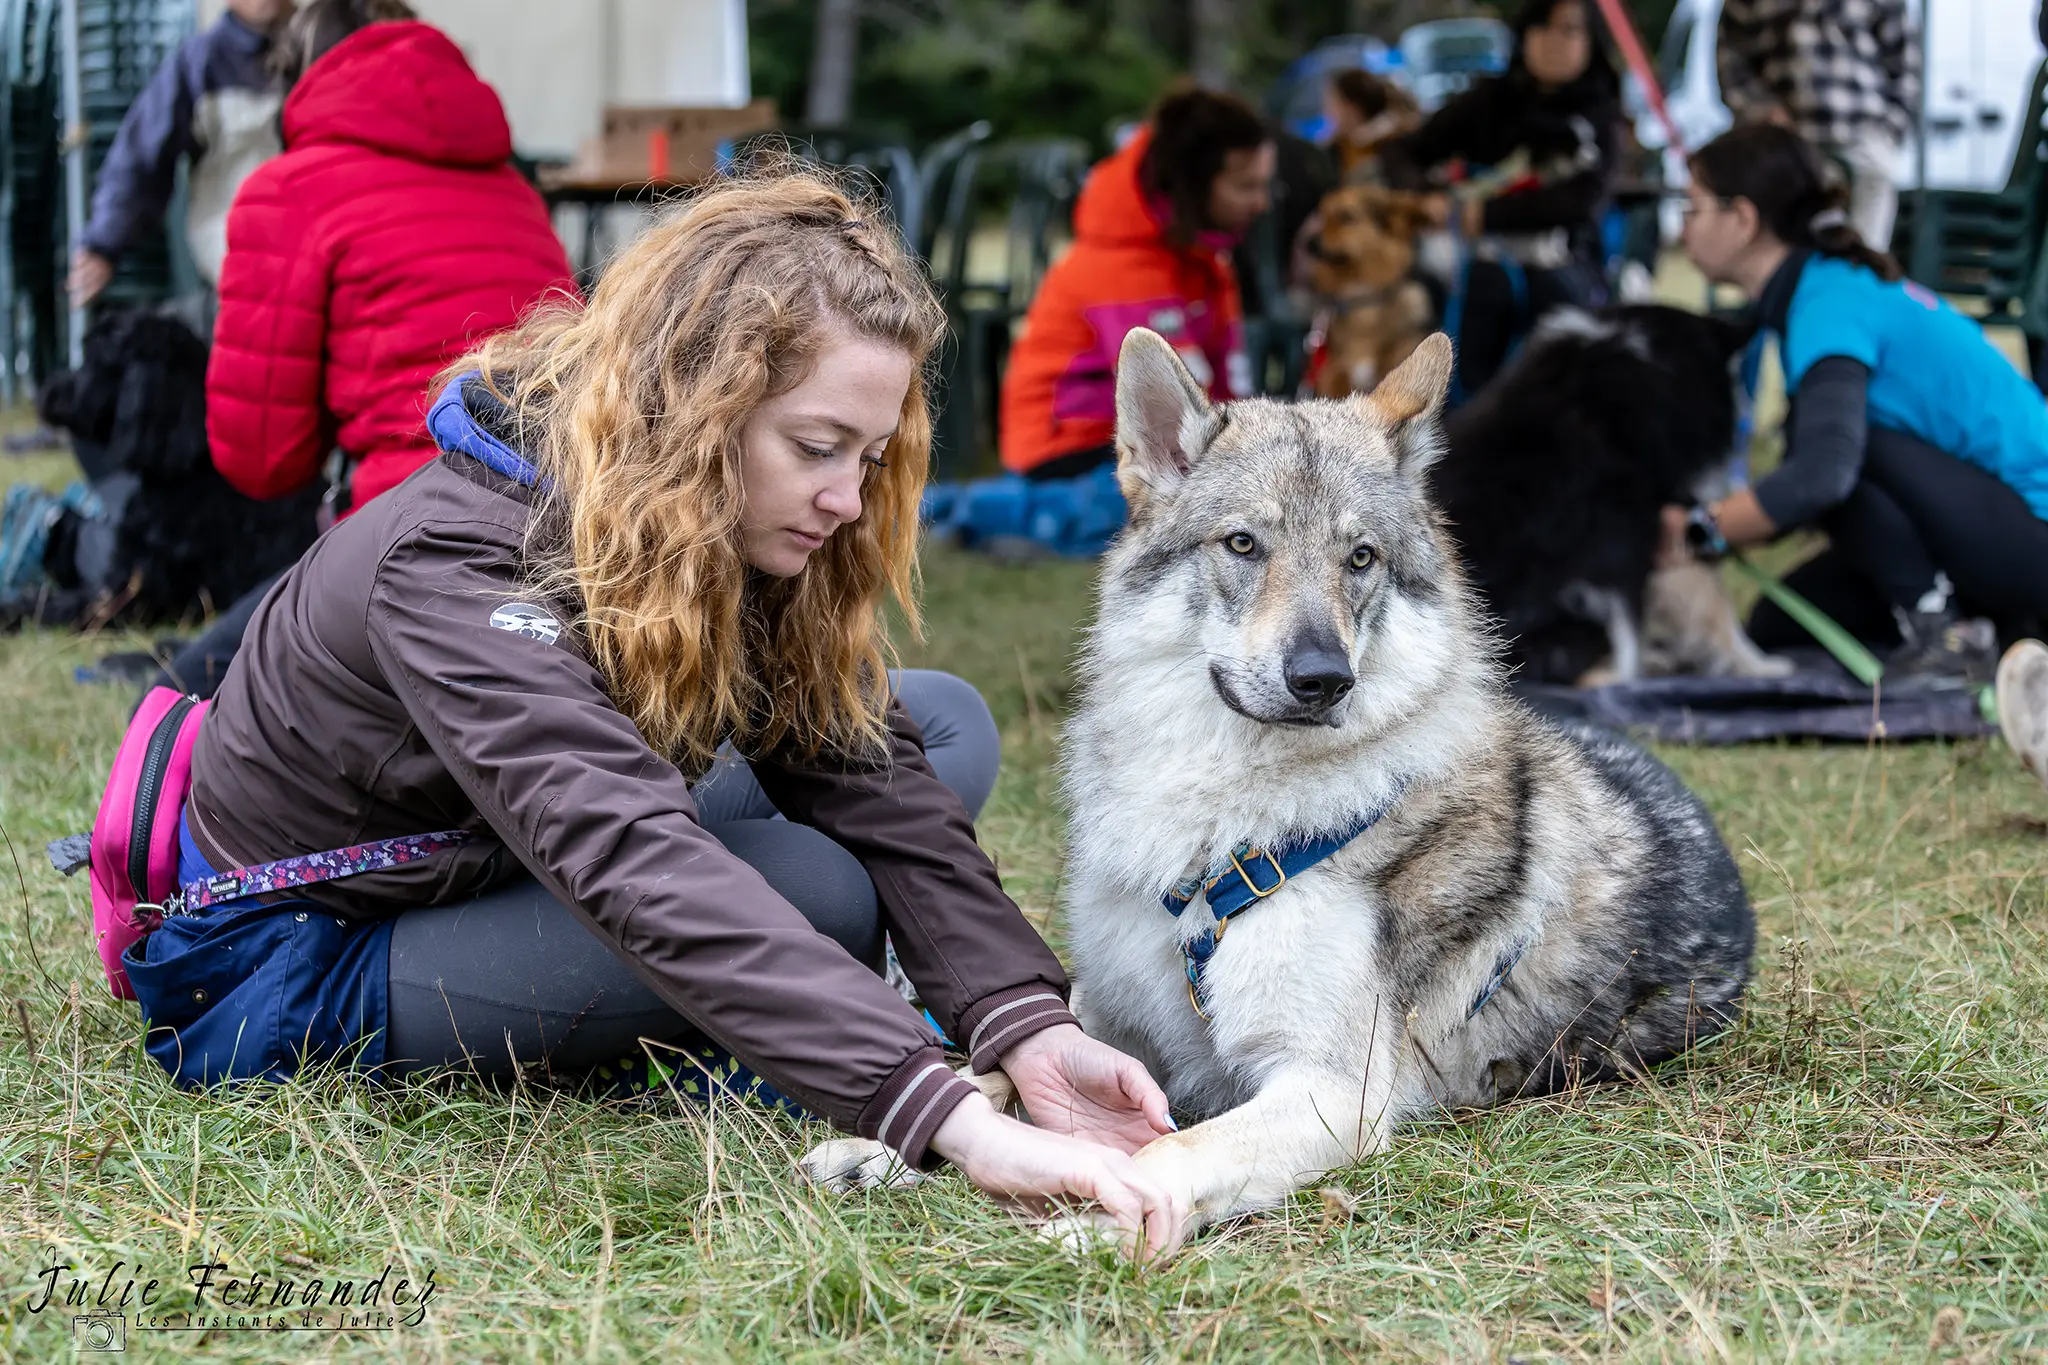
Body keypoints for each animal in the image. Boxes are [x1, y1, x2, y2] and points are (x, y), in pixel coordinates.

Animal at [798, 331, 1761, 1260]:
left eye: (1360, 559)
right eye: (1243, 545)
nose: (1322, 678)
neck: (1221, 835)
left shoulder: (1327, 1087)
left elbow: (1173, 1147)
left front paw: (1111, 1219)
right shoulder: (1109, 1016)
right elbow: (995, 1069)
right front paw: (884, 1143)